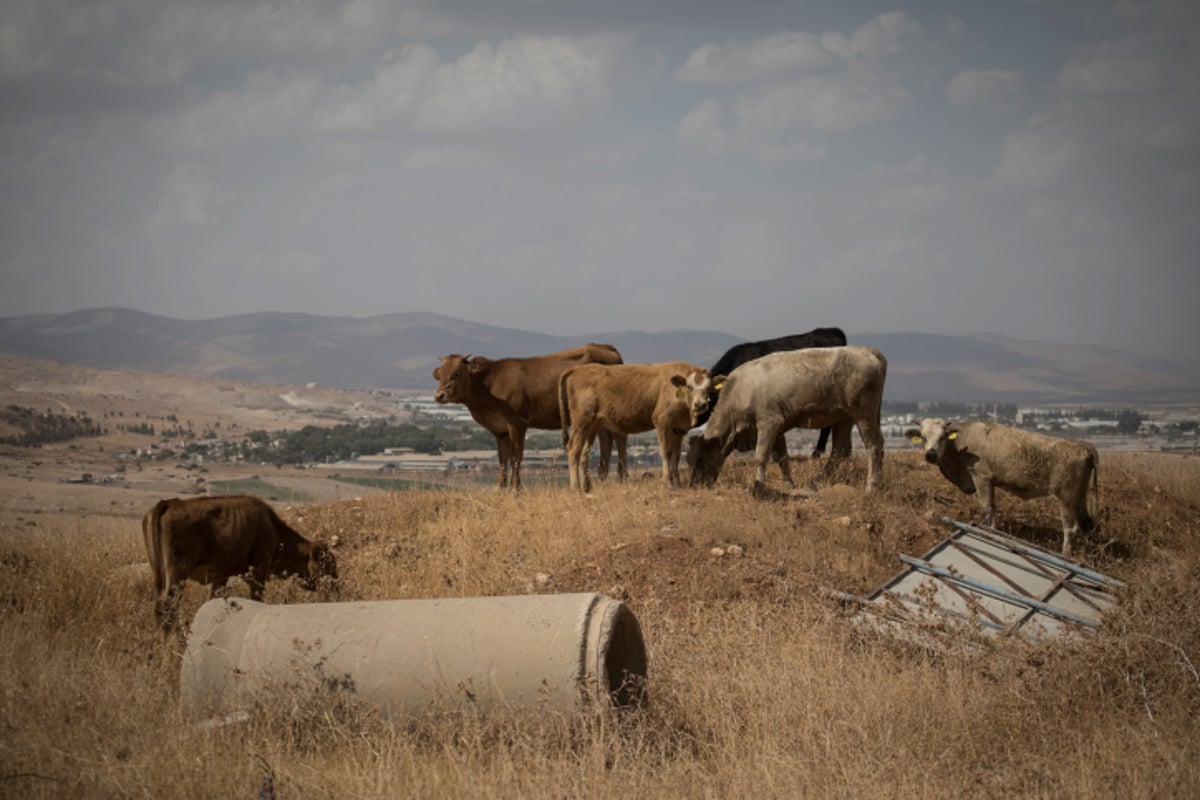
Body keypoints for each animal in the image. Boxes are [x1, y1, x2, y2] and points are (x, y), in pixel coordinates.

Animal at [142, 494, 336, 633]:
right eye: (326, 563)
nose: (335, 586)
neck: (273, 529)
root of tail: (168, 504)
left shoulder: (220, 577)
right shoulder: (258, 573)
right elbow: (257, 598)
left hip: (159, 575)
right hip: (177, 575)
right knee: (168, 606)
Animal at [434, 343, 628, 489]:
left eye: (457, 373)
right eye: (440, 374)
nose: (439, 395)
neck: (488, 384)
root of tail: (605, 347)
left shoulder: (517, 423)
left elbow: (516, 457)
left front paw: (516, 489)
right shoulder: (500, 430)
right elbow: (502, 459)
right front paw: (500, 488)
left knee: (620, 438)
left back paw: (621, 478)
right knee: (607, 440)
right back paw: (601, 479)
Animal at [556, 359, 715, 491]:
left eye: (709, 388)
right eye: (689, 387)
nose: (700, 405)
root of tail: (577, 369)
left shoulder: (679, 428)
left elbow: (676, 455)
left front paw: (677, 482)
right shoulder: (662, 422)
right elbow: (667, 452)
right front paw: (668, 483)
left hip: (592, 425)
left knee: (584, 453)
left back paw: (587, 487)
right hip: (581, 422)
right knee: (574, 450)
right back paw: (576, 488)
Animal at [691, 345, 888, 494]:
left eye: (700, 460)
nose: (694, 486)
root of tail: (866, 350)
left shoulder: (769, 422)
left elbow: (761, 456)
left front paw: (758, 486)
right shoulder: (778, 429)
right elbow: (782, 458)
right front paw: (790, 485)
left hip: (864, 413)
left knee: (874, 445)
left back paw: (871, 487)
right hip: (843, 417)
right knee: (840, 450)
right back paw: (817, 482)